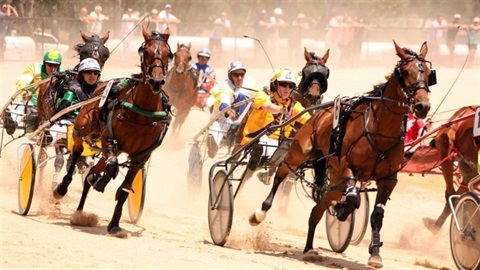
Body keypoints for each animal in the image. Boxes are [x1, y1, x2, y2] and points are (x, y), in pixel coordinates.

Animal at [52, 26, 172, 235]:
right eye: (145, 51)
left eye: (168, 54)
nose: (156, 81)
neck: (142, 113)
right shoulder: (109, 140)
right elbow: (111, 164)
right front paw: (100, 180)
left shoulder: (141, 157)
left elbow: (124, 189)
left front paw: (115, 224)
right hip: (81, 129)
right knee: (77, 153)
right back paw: (64, 189)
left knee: (92, 171)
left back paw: (81, 210)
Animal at [248, 40, 436, 268]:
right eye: (406, 71)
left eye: (428, 73)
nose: (422, 105)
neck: (380, 130)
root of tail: (318, 114)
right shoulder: (347, 167)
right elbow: (354, 198)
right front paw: (342, 210)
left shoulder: (388, 180)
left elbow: (377, 215)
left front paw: (375, 253)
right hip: (300, 153)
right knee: (281, 174)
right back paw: (260, 212)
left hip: (335, 180)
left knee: (316, 210)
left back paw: (309, 248)